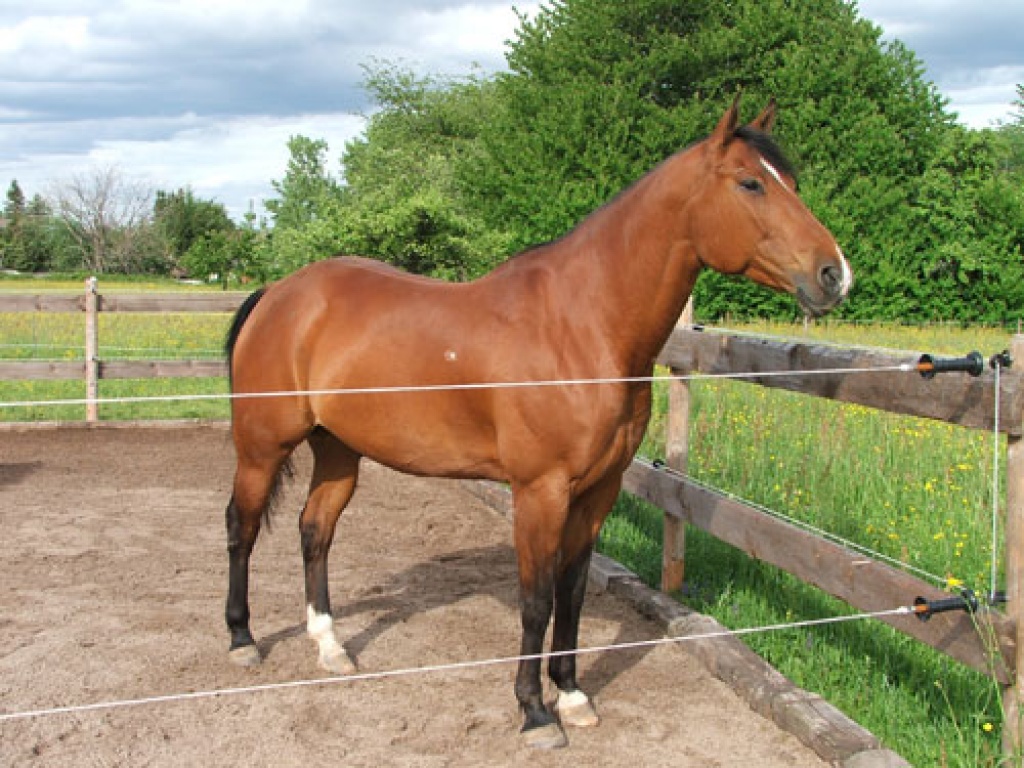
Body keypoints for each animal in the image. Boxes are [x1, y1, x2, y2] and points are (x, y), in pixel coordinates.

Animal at [222, 96, 852, 749]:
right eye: (751, 183)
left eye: (791, 182)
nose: (834, 274)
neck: (582, 326)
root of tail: (279, 294)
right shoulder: (539, 492)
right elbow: (535, 600)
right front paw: (534, 713)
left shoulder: (597, 491)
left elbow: (571, 594)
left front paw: (572, 695)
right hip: (263, 446)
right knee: (242, 526)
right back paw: (243, 640)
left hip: (338, 450)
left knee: (314, 531)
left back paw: (331, 647)